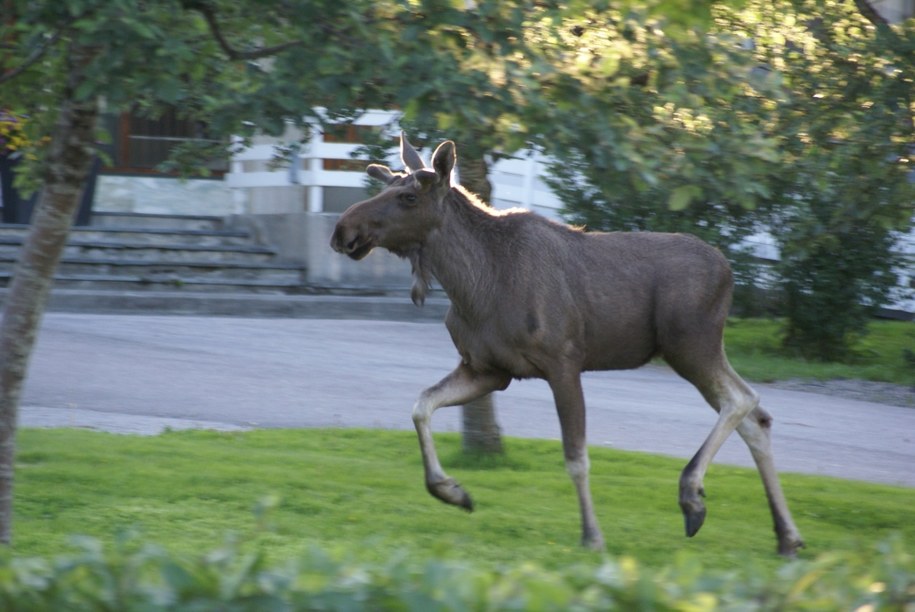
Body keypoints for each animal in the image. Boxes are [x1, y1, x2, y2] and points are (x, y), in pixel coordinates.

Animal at [332, 135, 804, 560]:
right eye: (384, 186)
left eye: (409, 196)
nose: (342, 230)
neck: (473, 285)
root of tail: (729, 271)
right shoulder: (487, 369)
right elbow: (421, 406)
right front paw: (452, 491)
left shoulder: (562, 363)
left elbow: (576, 457)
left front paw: (592, 536)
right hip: (693, 351)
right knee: (755, 417)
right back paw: (786, 536)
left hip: (691, 345)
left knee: (742, 400)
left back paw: (693, 497)